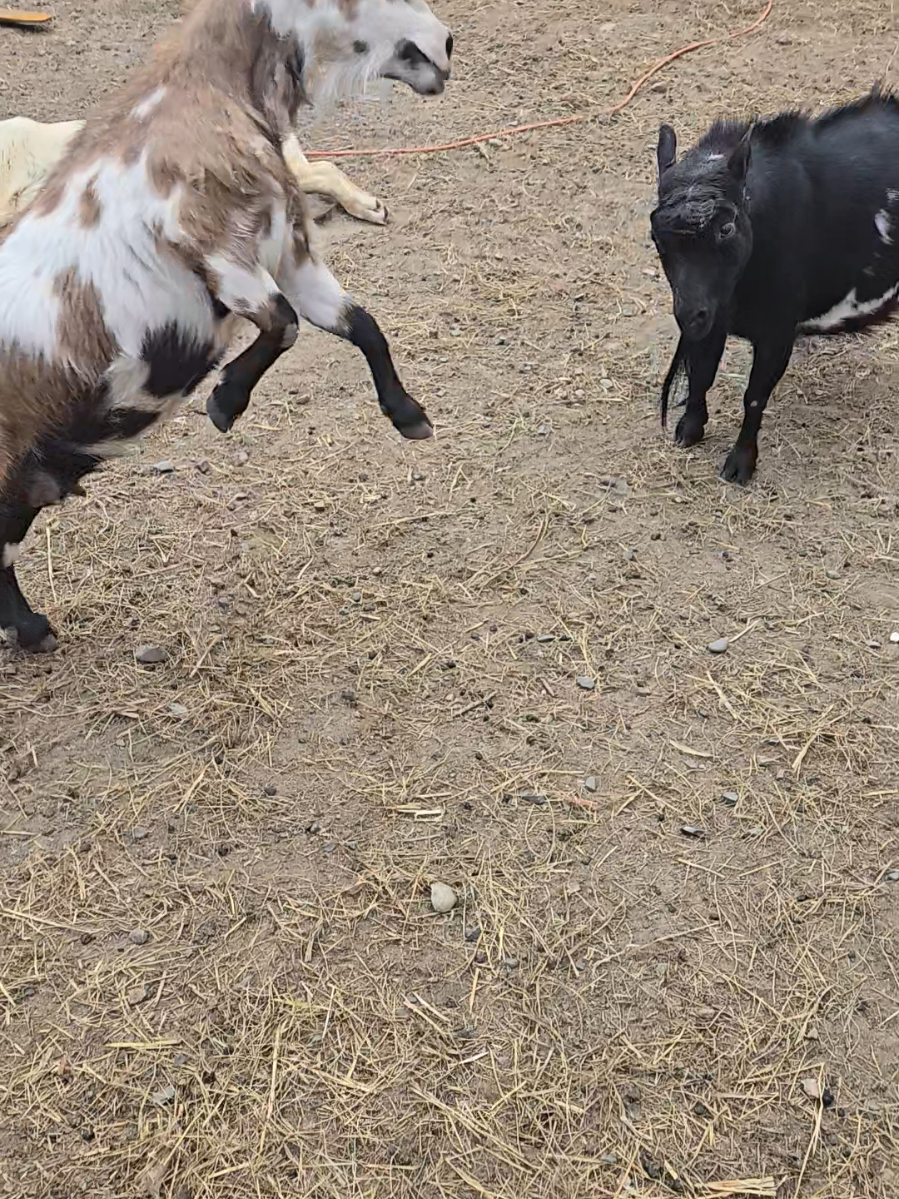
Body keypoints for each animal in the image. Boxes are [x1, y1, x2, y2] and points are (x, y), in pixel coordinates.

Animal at [651, 88, 899, 484]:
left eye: (726, 228)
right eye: (657, 236)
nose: (689, 313)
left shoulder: (778, 331)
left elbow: (754, 395)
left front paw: (740, 464)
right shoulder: (711, 318)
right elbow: (702, 373)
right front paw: (689, 429)